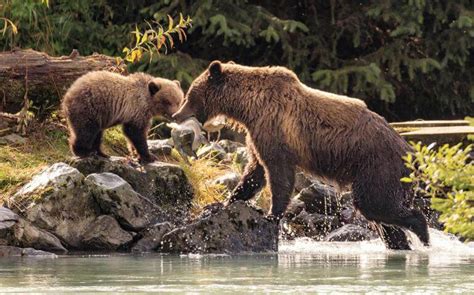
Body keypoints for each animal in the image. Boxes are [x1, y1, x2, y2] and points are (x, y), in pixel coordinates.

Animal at [174, 61, 430, 251]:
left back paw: (422, 234)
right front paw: (224, 202)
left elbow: (278, 173)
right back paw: (400, 243)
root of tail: (411, 152)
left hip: (378, 166)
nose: (177, 114)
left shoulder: (274, 128)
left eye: (189, 94)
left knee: (375, 203)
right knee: (382, 218)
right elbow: (254, 173)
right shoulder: (257, 134)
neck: (248, 107)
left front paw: (272, 215)